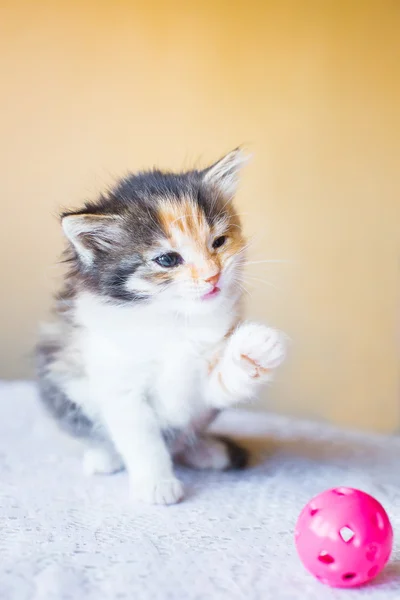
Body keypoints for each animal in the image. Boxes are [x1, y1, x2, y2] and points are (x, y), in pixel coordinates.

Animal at [36, 148, 286, 504]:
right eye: (167, 260)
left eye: (219, 242)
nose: (212, 276)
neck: (175, 320)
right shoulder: (119, 383)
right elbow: (141, 438)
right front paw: (156, 484)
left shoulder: (203, 379)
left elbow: (214, 386)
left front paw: (255, 350)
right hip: (60, 384)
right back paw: (104, 457)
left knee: (182, 438)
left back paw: (204, 451)